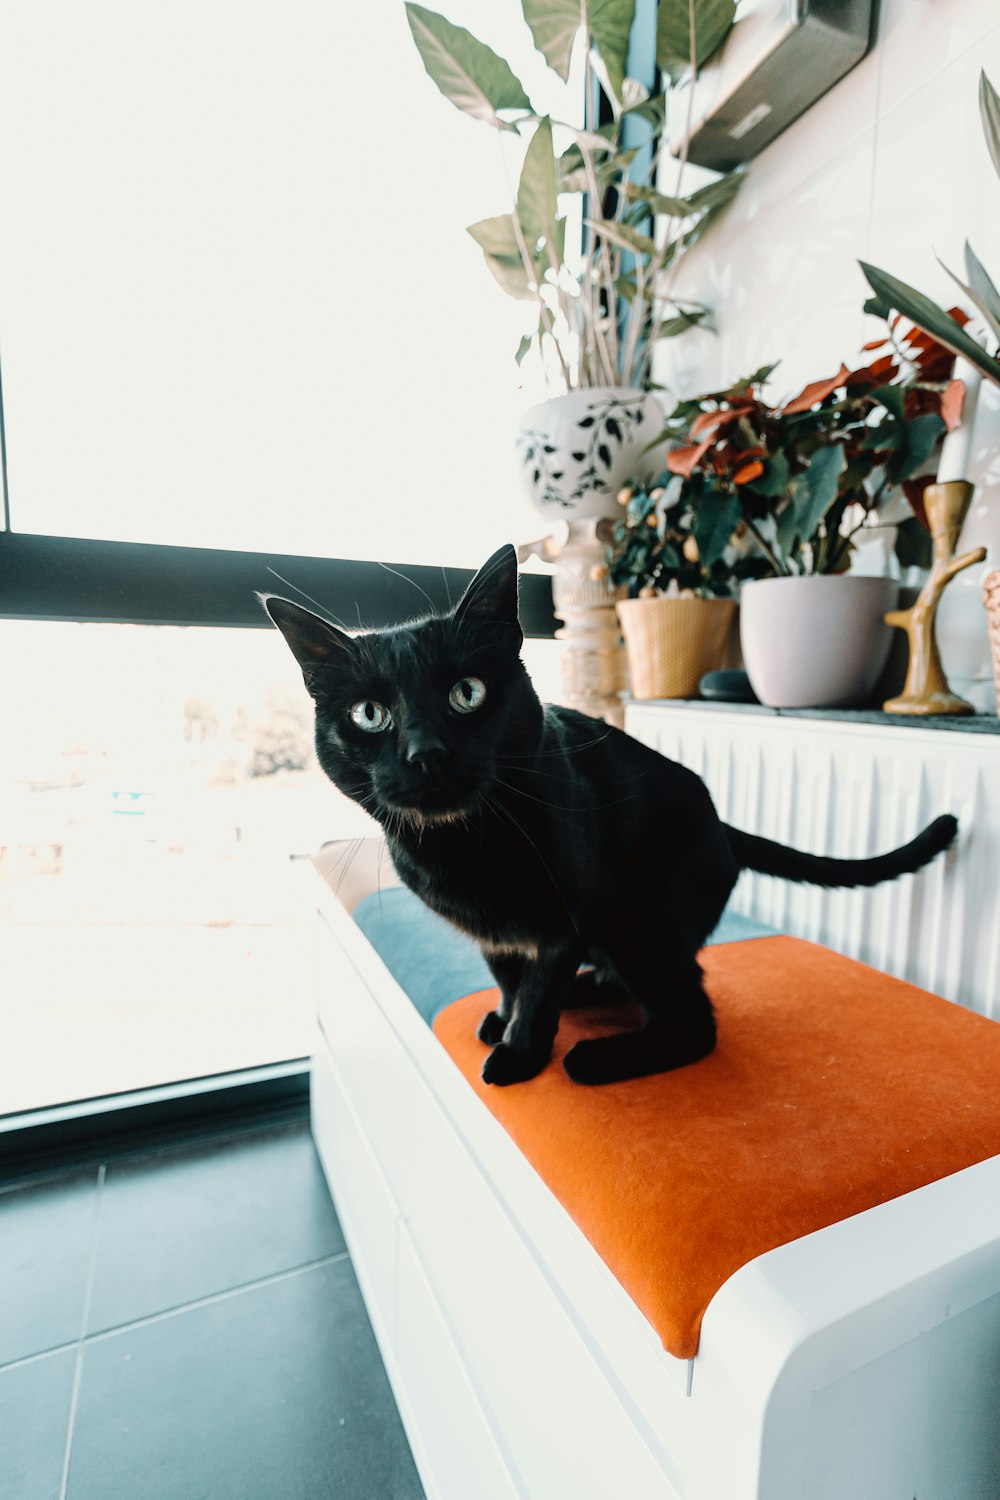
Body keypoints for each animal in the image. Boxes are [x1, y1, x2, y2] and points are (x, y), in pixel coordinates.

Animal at [265, 546, 959, 1086]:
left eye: (467, 693)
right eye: (370, 714)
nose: (426, 753)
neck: (464, 845)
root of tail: (720, 821)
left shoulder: (565, 917)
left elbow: (538, 987)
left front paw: (521, 1052)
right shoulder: (498, 935)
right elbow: (509, 978)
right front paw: (505, 1018)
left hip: (639, 920)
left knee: (694, 1019)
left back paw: (596, 1058)